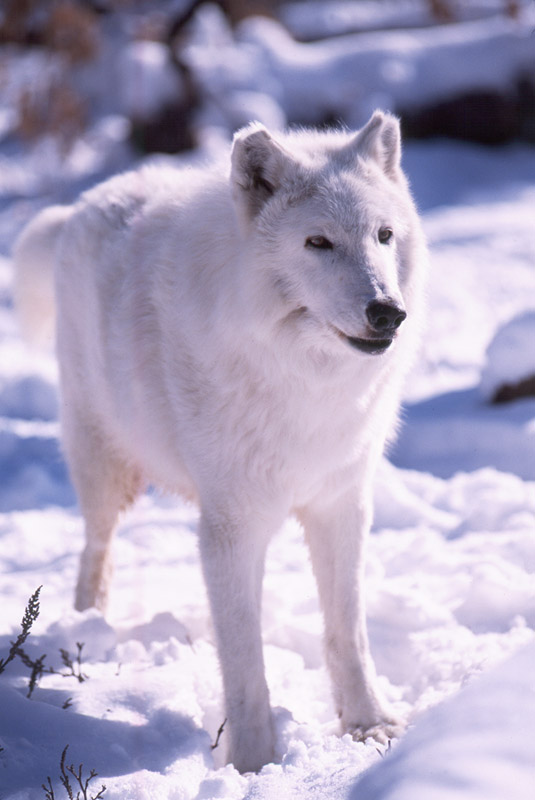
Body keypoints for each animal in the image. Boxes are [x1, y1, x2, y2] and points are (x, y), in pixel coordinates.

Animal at [14, 109, 430, 772]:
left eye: (384, 235)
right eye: (318, 243)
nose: (388, 312)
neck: (304, 380)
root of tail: (82, 203)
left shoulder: (341, 504)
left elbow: (348, 631)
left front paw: (369, 725)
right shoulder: (230, 528)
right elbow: (244, 660)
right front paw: (254, 762)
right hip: (106, 470)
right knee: (95, 550)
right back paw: (87, 629)